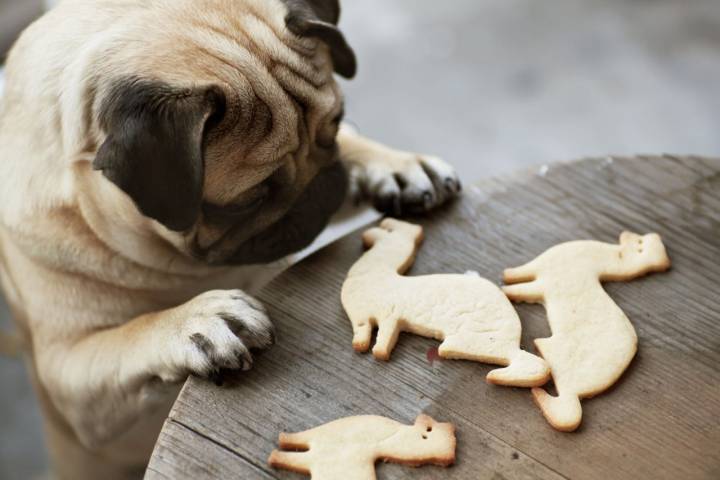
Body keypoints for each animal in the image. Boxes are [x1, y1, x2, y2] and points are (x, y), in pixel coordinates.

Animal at [0, 0, 462, 480]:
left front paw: (396, 165)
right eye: (249, 200)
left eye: (334, 128)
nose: (319, 194)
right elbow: (129, 336)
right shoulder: (71, 382)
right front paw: (196, 321)